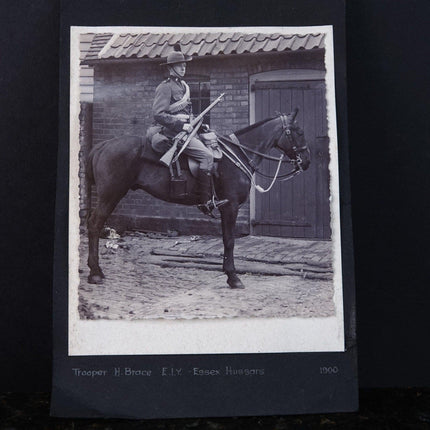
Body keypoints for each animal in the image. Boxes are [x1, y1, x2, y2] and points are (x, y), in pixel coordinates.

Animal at [86, 109, 310, 288]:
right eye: (299, 132)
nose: (306, 161)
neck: (239, 153)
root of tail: (102, 145)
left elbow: (226, 239)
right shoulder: (230, 207)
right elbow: (229, 241)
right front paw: (233, 277)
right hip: (110, 195)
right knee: (95, 224)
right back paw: (95, 272)